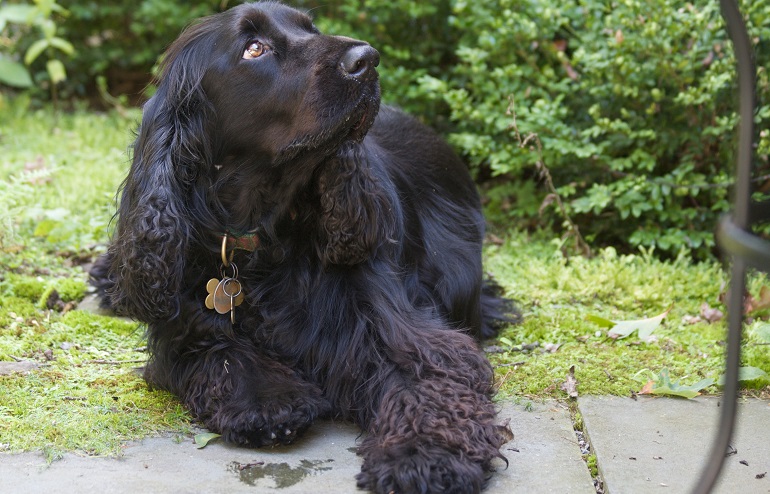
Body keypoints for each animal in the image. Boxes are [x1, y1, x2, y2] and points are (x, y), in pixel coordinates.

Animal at [90, 1, 512, 492]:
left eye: (310, 27)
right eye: (254, 48)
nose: (367, 59)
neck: (262, 236)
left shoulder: (401, 330)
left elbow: (427, 384)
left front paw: (424, 455)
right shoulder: (187, 328)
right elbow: (224, 354)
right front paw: (269, 399)